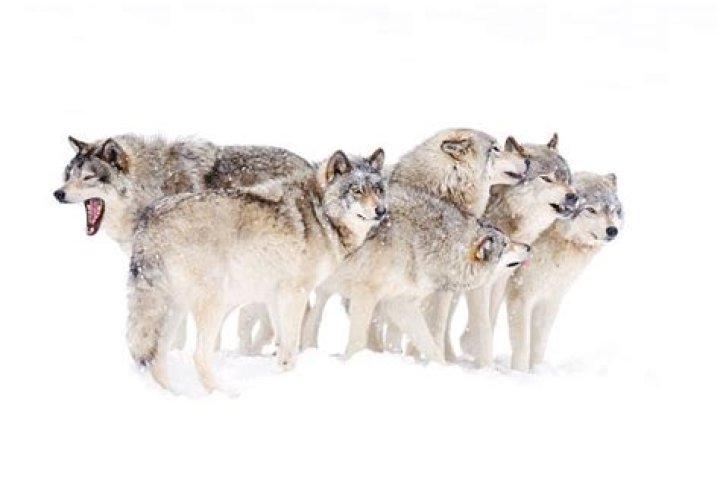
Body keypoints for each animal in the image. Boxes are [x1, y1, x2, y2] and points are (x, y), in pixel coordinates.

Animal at [126, 148, 387, 391]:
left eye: (378, 190)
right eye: (357, 190)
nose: (382, 211)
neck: (320, 212)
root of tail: (149, 220)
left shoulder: (275, 296)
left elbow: (282, 347)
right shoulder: (295, 294)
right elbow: (291, 348)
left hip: (173, 310)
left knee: (156, 357)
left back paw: (175, 394)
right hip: (213, 303)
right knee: (198, 356)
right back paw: (225, 394)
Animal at [458, 134, 578, 367]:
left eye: (567, 179)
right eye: (547, 179)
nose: (574, 197)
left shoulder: (500, 279)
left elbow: (491, 318)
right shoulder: (480, 282)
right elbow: (483, 324)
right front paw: (484, 364)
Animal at [505, 172, 623, 371]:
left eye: (613, 210)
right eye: (591, 210)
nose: (612, 230)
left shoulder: (550, 299)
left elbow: (539, 345)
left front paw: (536, 372)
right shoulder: (520, 297)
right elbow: (522, 347)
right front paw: (518, 373)